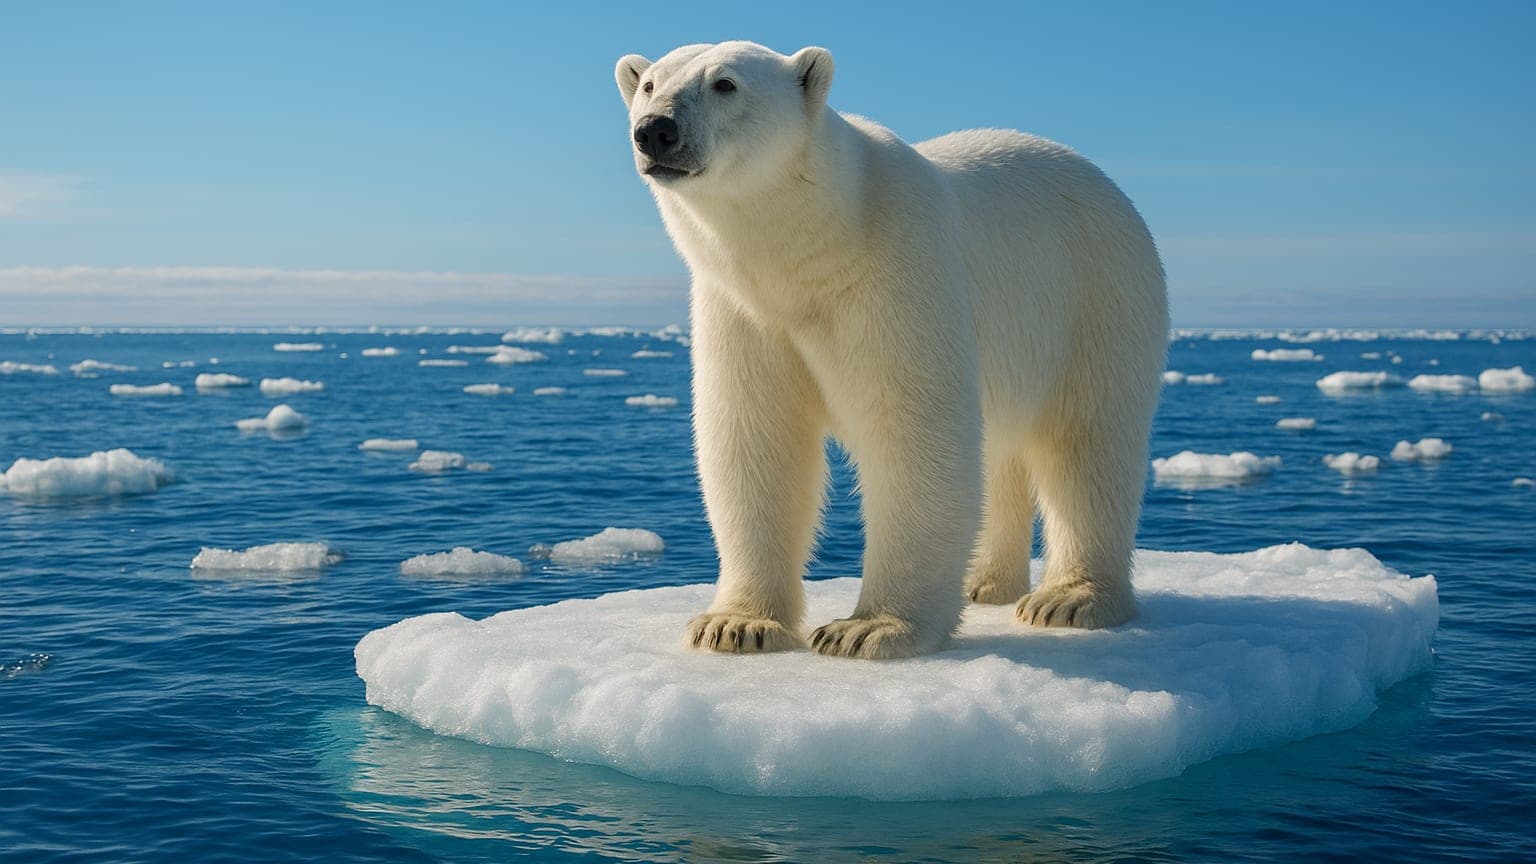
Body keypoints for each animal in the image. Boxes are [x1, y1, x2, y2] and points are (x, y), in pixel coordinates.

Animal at [615, 41, 1167, 659]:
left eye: (726, 83)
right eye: (650, 84)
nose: (655, 130)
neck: (816, 245)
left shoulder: (894, 275)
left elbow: (909, 430)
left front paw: (869, 628)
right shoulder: (744, 311)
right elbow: (756, 438)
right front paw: (734, 625)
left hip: (1096, 296)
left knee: (1085, 443)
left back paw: (1069, 598)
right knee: (1003, 452)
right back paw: (984, 583)